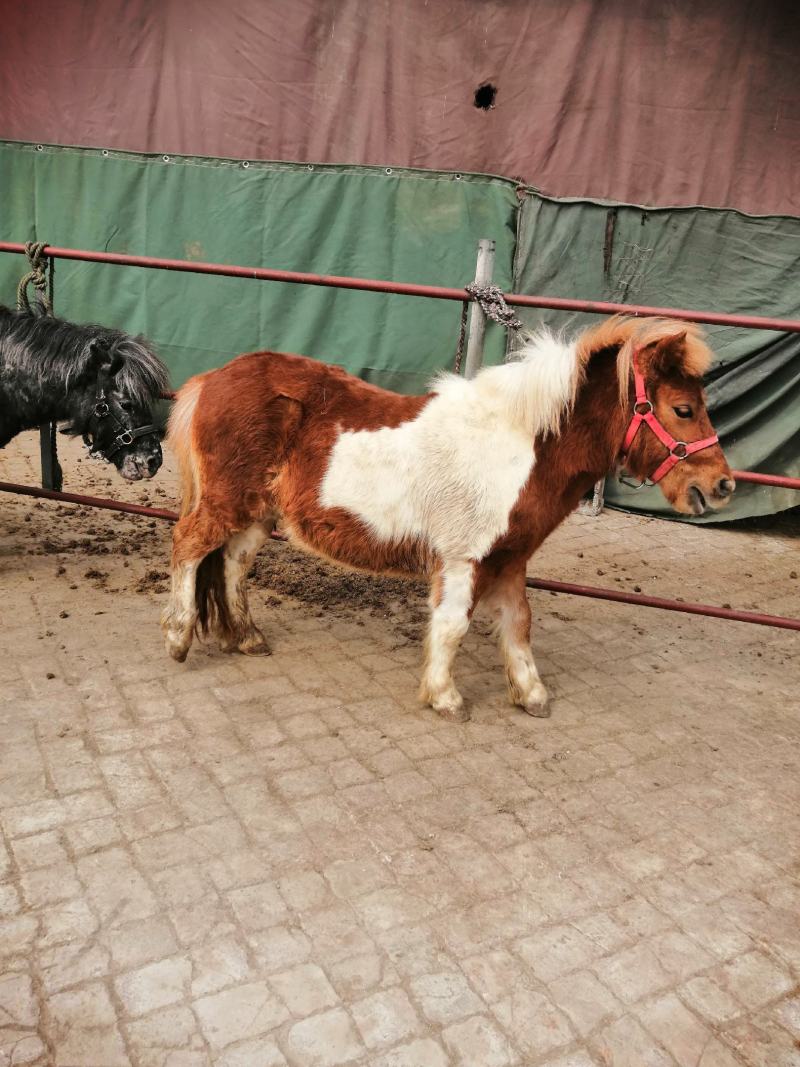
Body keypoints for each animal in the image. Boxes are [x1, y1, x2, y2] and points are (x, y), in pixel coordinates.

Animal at [161, 315, 734, 721]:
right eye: (683, 409)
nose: (722, 486)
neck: (519, 445)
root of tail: (211, 379)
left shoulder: (510, 558)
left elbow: (519, 624)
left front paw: (531, 694)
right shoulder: (464, 559)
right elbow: (453, 624)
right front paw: (444, 697)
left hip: (257, 513)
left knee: (231, 564)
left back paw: (247, 637)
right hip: (226, 503)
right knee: (187, 546)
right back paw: (178, 639)